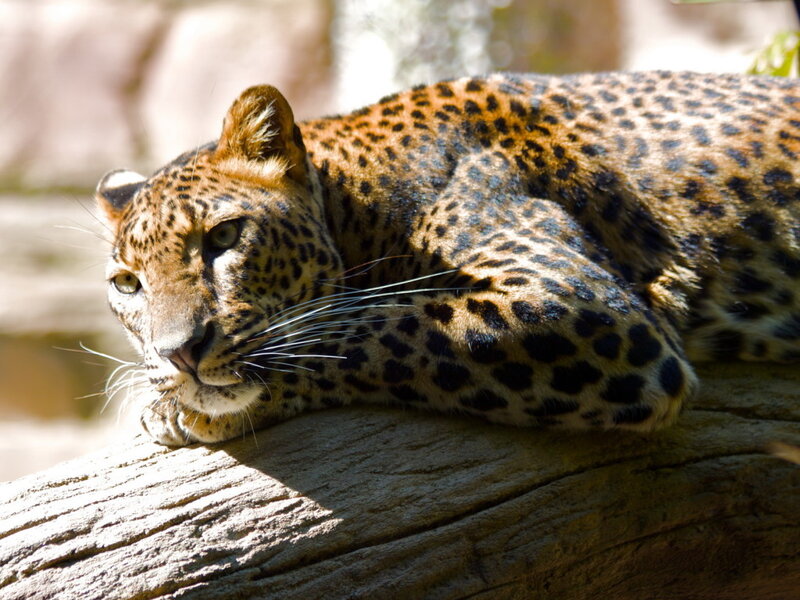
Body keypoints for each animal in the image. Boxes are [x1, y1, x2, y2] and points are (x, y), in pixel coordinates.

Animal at [95, 71, 800, 446]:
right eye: (127, 284)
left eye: (223, 237)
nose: (179, 354)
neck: (362, 202)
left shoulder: (580, 303)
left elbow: (381, 326)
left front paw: (181, 407)